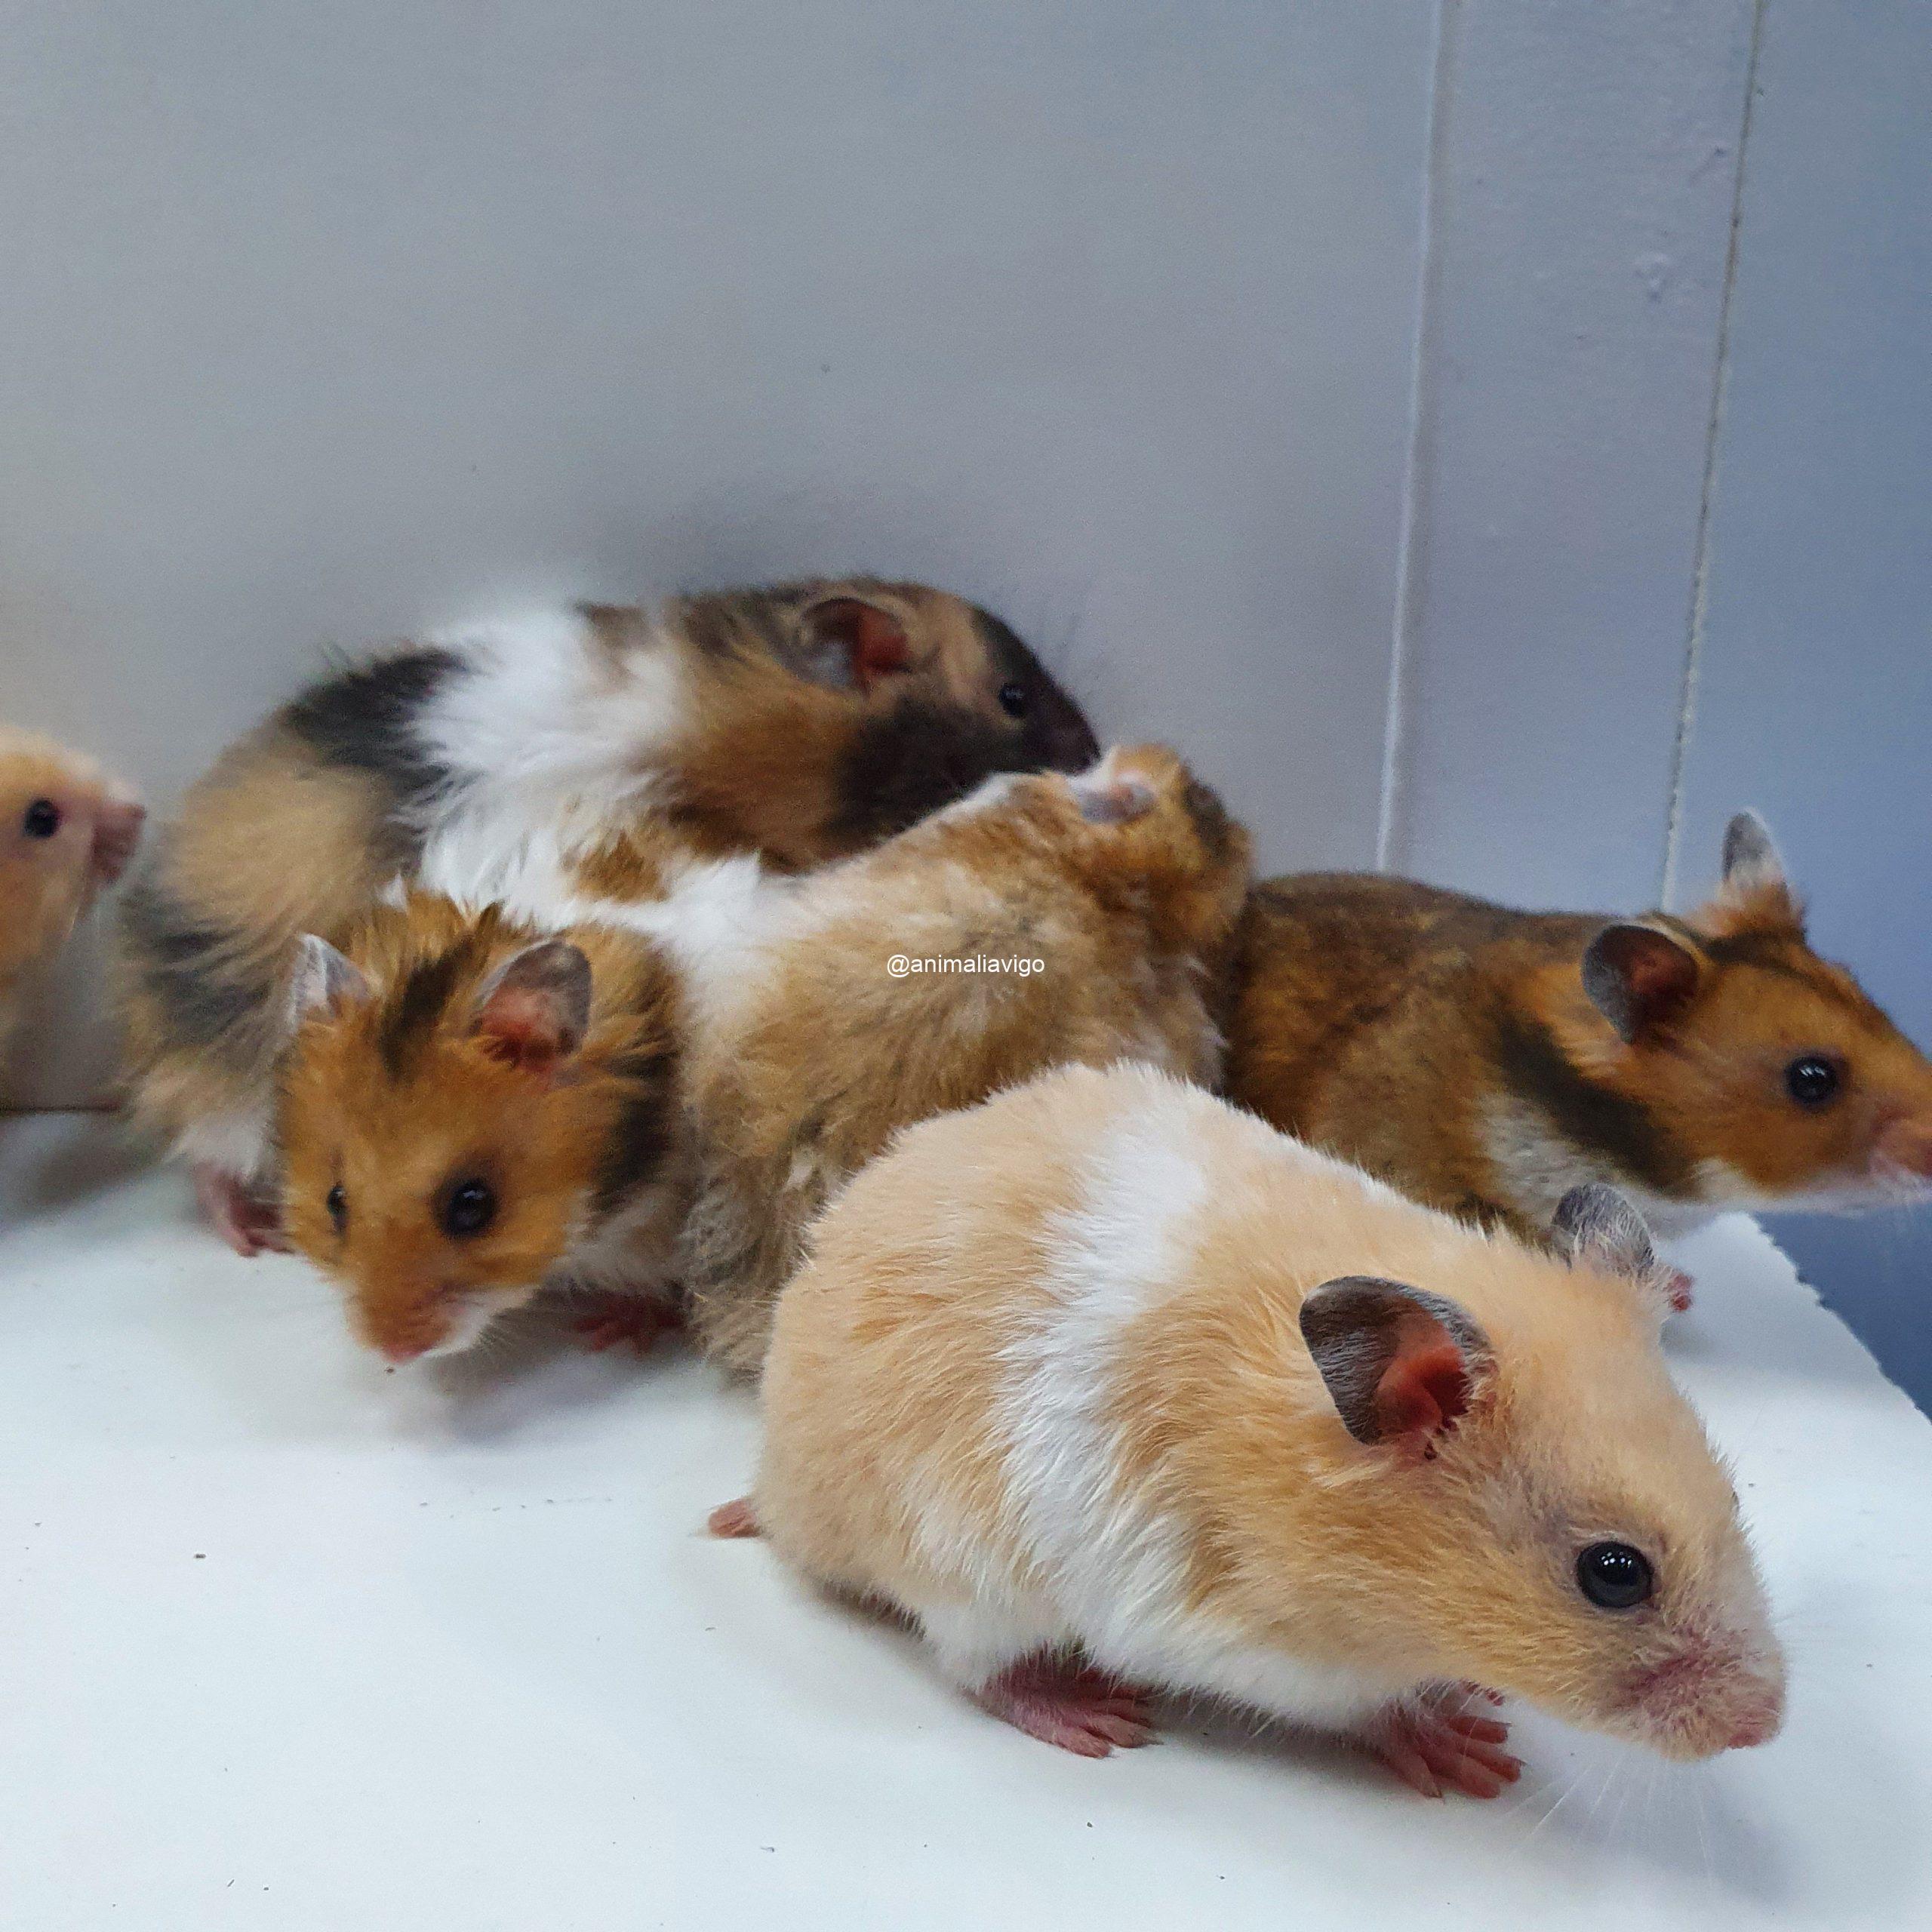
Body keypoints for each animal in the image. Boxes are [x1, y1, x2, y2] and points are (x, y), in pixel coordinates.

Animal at [715, 1062, 1785, 1795]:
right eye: (1614, 1573)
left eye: (1734, 1493)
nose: (1767, 1725)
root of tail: (779, 1486)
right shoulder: (1242, 1643)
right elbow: (1365, 1705)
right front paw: (1470, 1755)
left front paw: (1478, 1699)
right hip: (967, 1574)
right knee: (977, 1672)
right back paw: (1096, 1719)